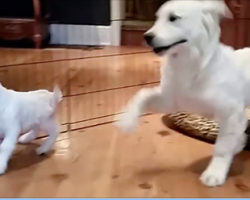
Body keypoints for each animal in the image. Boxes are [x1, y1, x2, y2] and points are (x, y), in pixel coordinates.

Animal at [115, 0, 250, 188]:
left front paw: (215, 172)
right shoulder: (171, 100)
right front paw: (127, 119)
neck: (189, 64)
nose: (146, 37)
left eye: (173, 18)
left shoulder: (231, 112)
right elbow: (143, 94)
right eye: (157, 18)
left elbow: (222, 146)